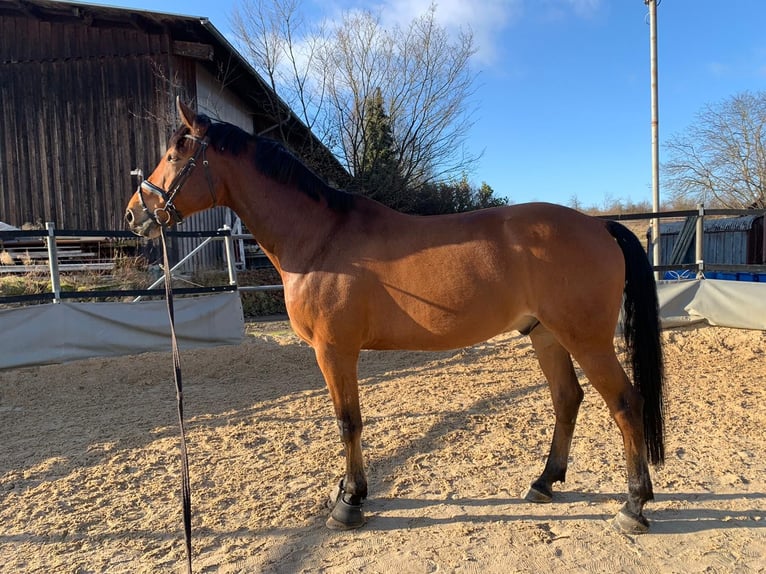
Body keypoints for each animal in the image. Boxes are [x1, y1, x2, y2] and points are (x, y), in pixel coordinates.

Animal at [124, 98, 664, 536]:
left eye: (174, 155)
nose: (133, 215)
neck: (320, 239)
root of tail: (599, 226)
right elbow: (347, 421)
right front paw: (346, 491)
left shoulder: (334, 351)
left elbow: (348, 422)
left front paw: (349, 503)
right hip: (546, 336)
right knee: (567, 399)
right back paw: (544, 482)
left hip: (585, 339)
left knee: (626, 403)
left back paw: (633, 506)